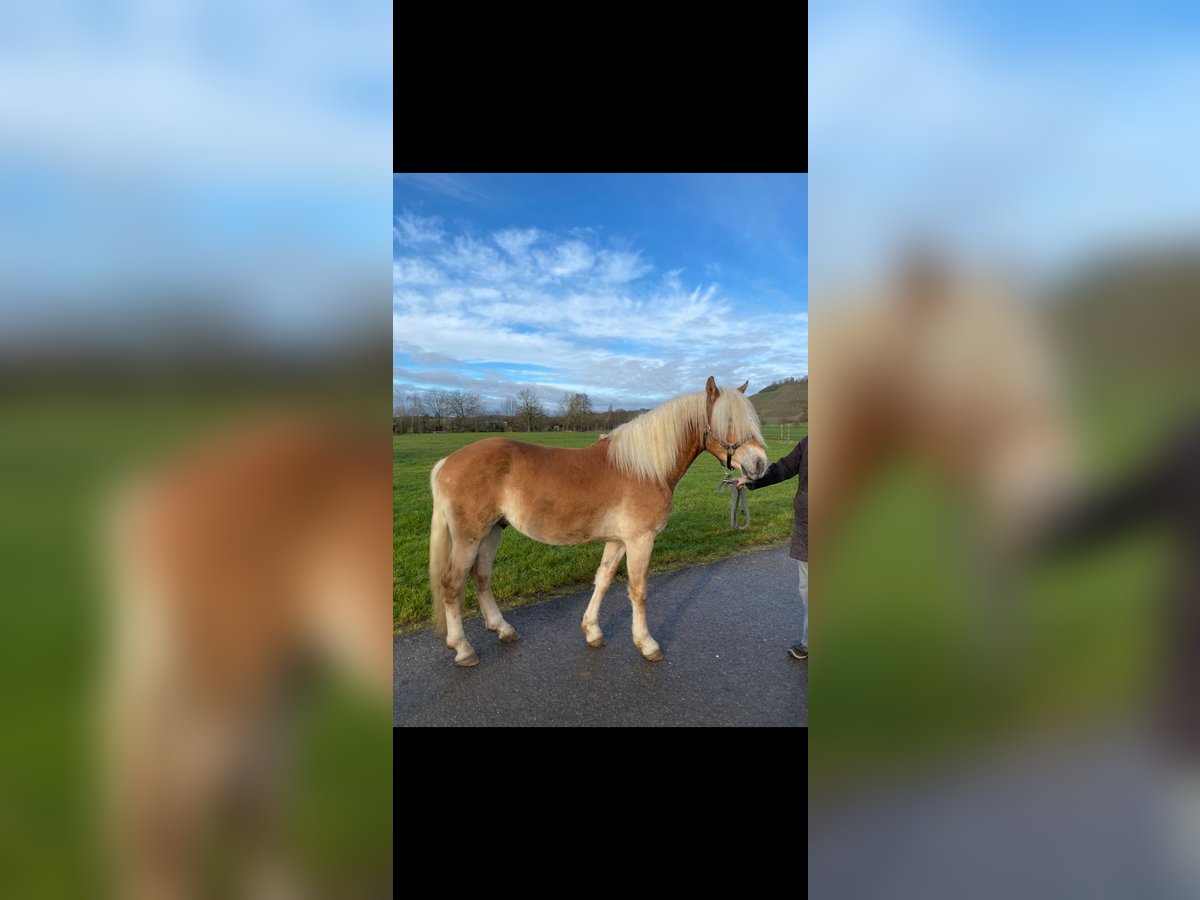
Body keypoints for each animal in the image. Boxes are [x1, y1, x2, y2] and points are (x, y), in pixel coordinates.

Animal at [432, 376, 768, 667]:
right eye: (728, 421)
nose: (759, 464)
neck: (646, 469)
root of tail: (446, 462)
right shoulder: (640, 540)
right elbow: (638, 589)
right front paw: (647, 644)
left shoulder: (618, 541)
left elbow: (603, 580)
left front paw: (592, 631)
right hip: (469, 536)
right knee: (452, 583)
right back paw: (463, 648)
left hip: (492, 532)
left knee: (481, 577)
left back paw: (502, 629)